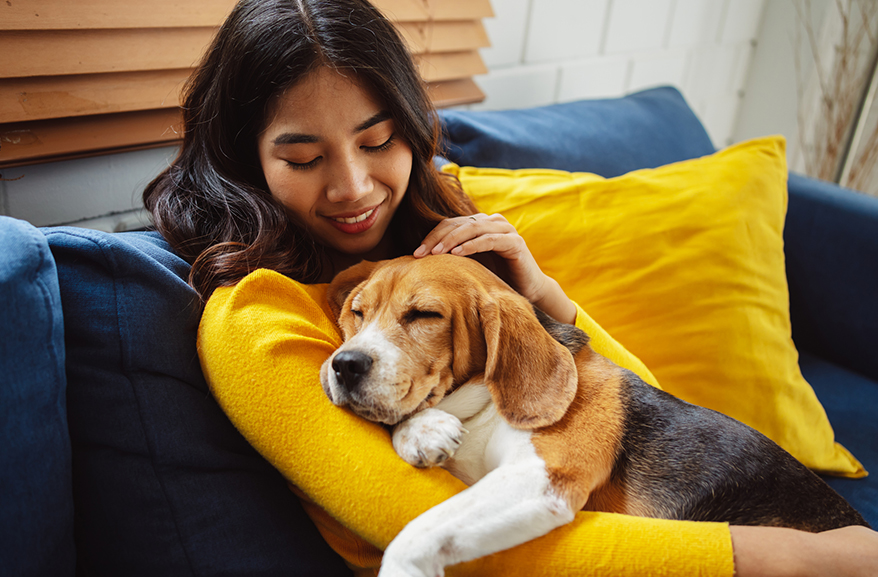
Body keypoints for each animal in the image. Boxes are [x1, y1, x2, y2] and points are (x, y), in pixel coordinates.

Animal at [320, 255, 868, 576]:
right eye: (357, 312)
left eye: (424, 316)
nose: (344, 365)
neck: (484, 406)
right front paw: (422, 431)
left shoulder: (544, 477)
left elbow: (416, 534)